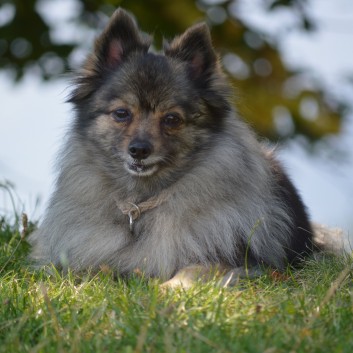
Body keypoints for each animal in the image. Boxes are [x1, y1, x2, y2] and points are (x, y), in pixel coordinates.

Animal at [28, 8, 332, 286]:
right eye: (122, 114)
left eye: (172, 119)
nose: (139, 150)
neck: (142, 204)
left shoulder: (228, 260)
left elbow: (189, 273)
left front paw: (165, 292)